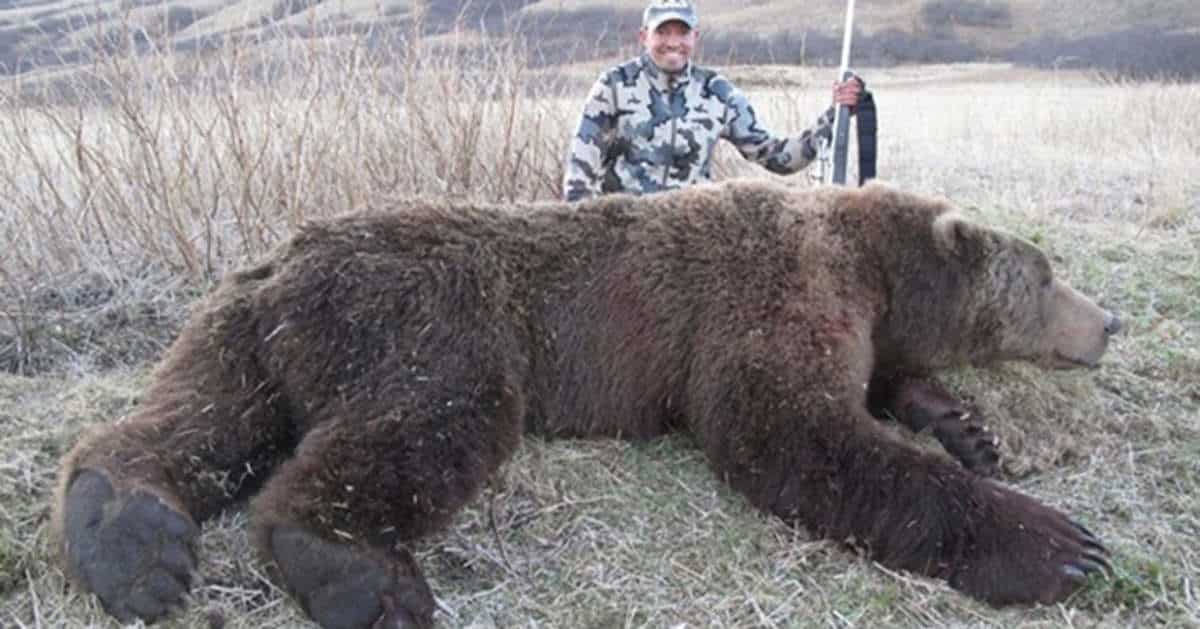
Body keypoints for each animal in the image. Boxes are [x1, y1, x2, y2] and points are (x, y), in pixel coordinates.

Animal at [51, 180, 1121, 628]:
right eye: (1047, 273)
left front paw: (965, 425)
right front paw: (1058, 543)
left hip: (237, 332)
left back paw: (130, 540)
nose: (1108, 319)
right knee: (429, 422)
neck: (868, 258)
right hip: (434, 318)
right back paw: (360, 575)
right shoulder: (770, 291)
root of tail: (281, 268)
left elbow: (882, 383)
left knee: (194, 421)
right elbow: (792, 430)